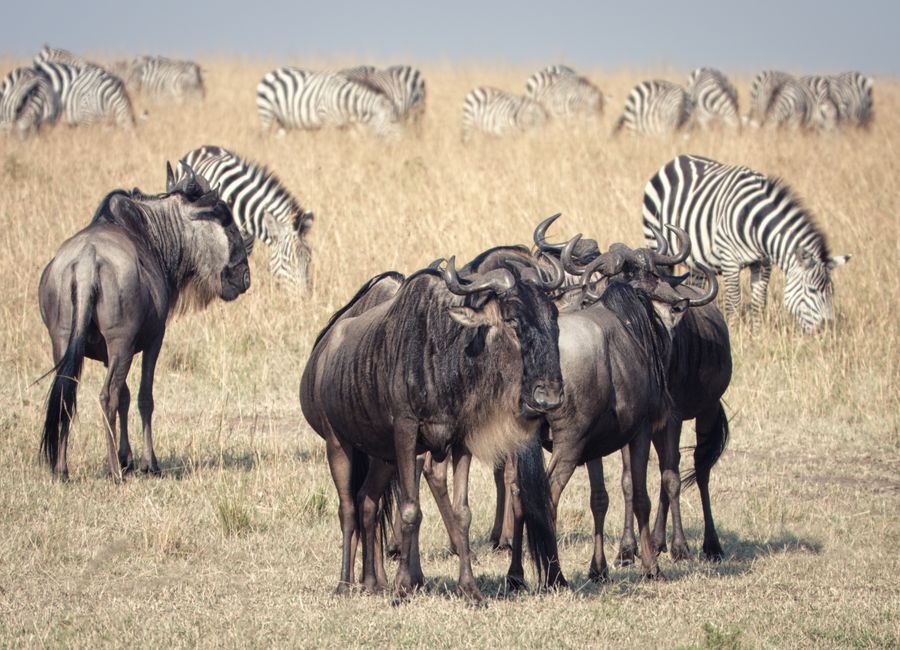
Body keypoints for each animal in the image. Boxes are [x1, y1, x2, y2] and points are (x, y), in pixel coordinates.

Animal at [256, 67, 399, 137]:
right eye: (392, 122)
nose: (400, 143)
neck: (344, 100)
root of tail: (273, 72)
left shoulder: (346, 125)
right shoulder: (326, 121)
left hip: (283, 121)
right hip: (266, 112)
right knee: (264, 136)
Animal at [642, 154, 851, 331]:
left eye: (832, 292)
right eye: (813, 290)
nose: (827, 329)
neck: (756, 224)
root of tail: (677, 159)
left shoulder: (763, 263)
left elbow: (759, 301)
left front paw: (757, 334)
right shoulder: (730, 260)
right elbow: (734, 301)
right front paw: (735, 330)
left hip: (697, 265)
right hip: (654, 238)